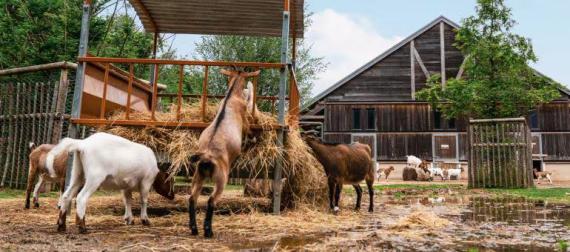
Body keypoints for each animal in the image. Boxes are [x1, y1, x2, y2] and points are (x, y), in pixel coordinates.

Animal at [187, 69, 258, 238]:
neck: (230, 97)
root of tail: (206, 156)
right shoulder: (245, 120)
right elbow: (249, 130)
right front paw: (253, 139)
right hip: (221, 178)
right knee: (211, 200)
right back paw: (208, 231)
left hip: (198, 176)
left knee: (192, 198)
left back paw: (194, 228)